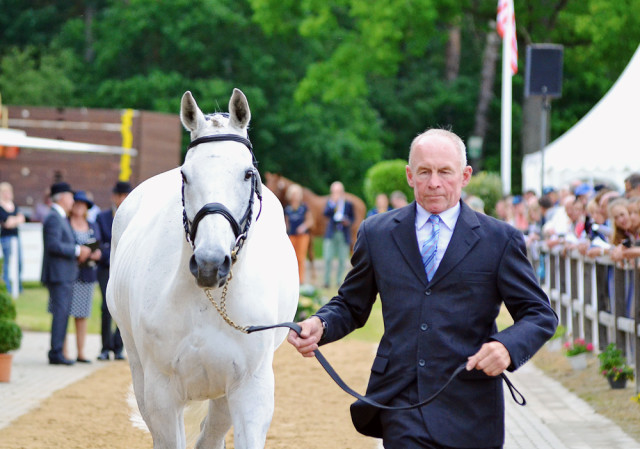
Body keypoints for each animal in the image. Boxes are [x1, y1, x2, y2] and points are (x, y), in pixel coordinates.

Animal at [107, 88, 300, 448]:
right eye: (185, 174)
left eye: (247, 174)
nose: (210, 264)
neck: (205, 304)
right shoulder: (162, 395)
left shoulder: (250, 391)